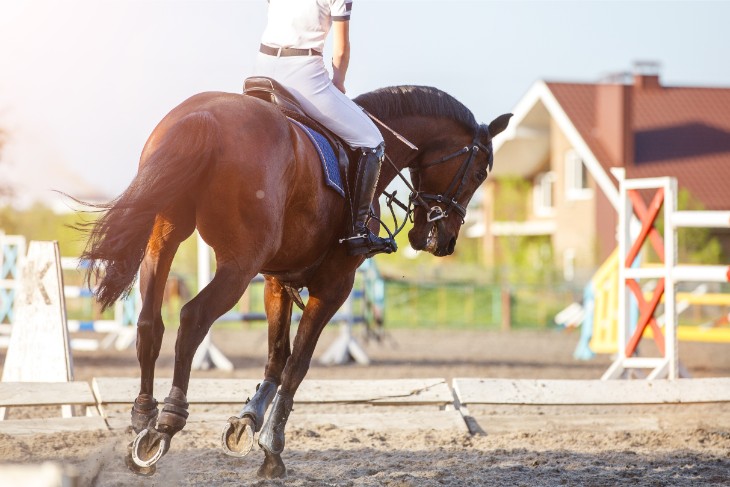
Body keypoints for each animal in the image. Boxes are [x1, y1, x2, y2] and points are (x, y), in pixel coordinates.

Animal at [82, 85, 510, 480]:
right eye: (479, 173)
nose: (444, 241)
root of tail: (204, 116)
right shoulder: (335, 285)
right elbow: (298, 364)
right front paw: (271, 449)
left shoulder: (277, 280)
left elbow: (277, 356)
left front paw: (247, 421)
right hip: (238, 266)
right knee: (192, 319)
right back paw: (166, 426)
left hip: (163, 239)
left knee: (149, 324)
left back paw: (142, 420)